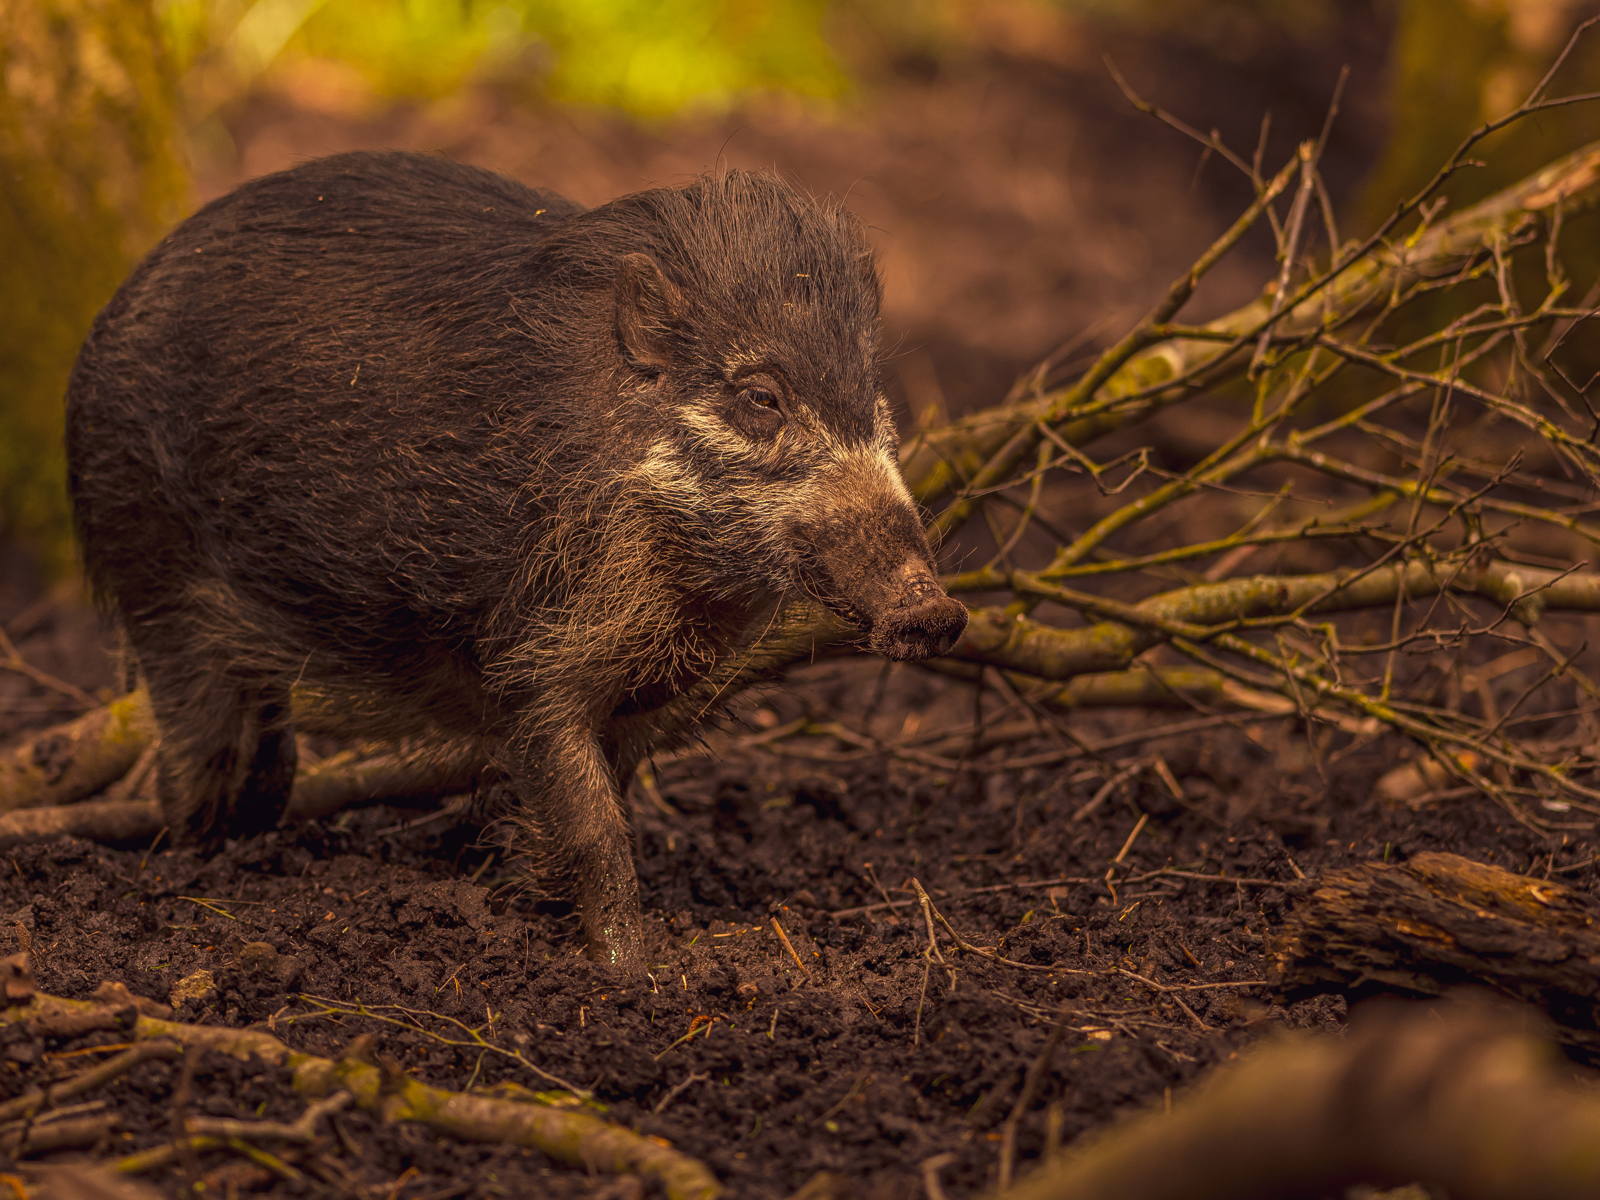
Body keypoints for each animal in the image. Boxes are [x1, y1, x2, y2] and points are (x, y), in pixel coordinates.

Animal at [65, 151, 968, 969]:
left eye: (872, 393)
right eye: (761, 396)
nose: (935, 612)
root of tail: (109, 317)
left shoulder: (646, 694)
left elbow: (614, 799)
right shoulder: (532, 658)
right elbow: (594, 825)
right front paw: (633, 974)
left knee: (269, 761)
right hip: (149, 569)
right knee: (194, 748)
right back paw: (192, 862)